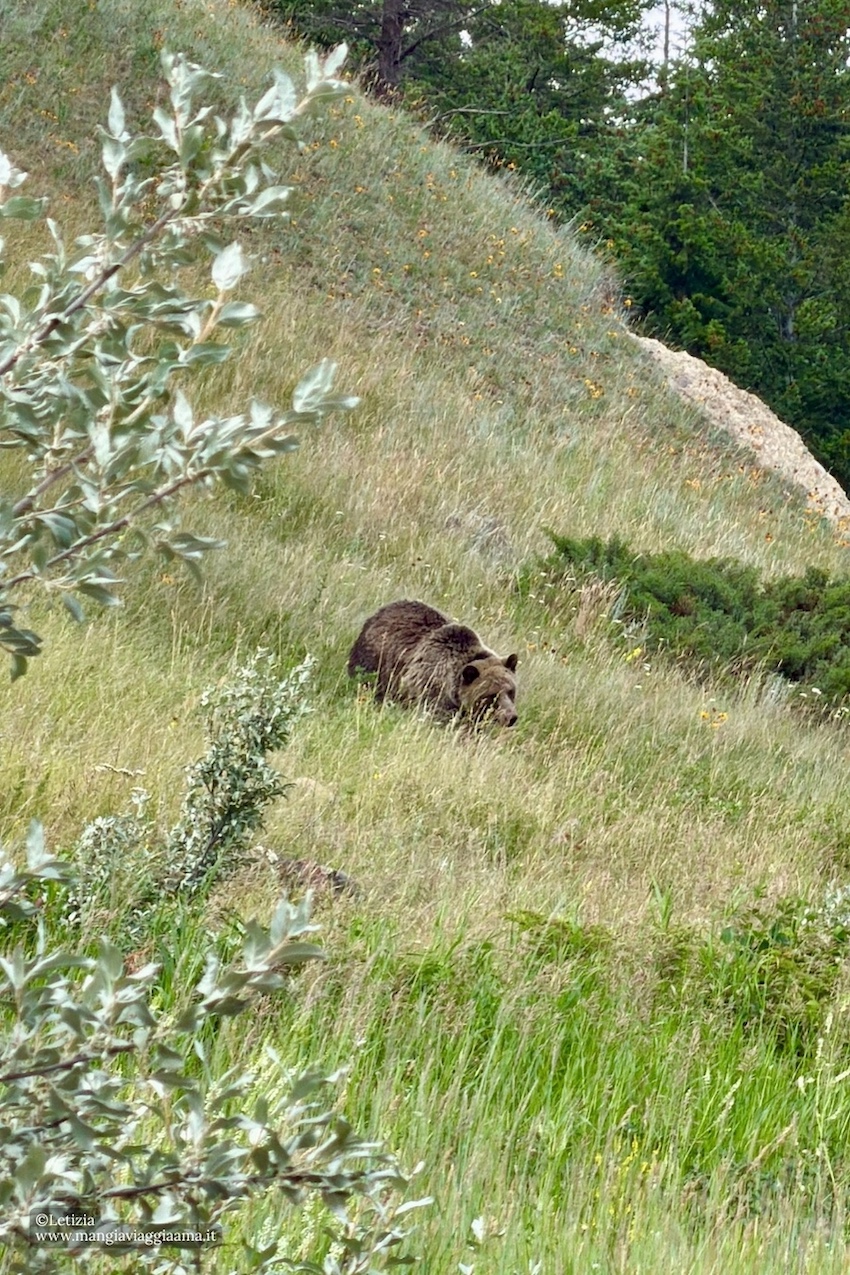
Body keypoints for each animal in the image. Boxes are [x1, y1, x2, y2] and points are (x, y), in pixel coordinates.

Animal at [347, 599, 518, 727]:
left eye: (511, 691)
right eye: (491, 695)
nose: (511, 717)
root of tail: (379, 612)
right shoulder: (432, 686)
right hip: (376, 661)